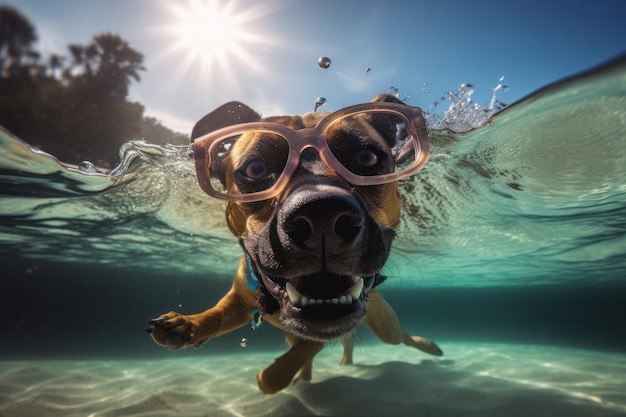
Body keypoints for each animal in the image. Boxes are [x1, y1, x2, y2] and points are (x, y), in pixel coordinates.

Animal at [147, 95, 442, 394]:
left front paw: (273, 377)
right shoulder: (238, 301)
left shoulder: (314, 337)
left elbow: (272, 377)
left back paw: (429, 347)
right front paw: (187, 324)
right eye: (256, 169)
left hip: (385, 325)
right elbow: (217, 315)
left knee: (399, 337)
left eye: (366, 158)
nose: (321, 214)